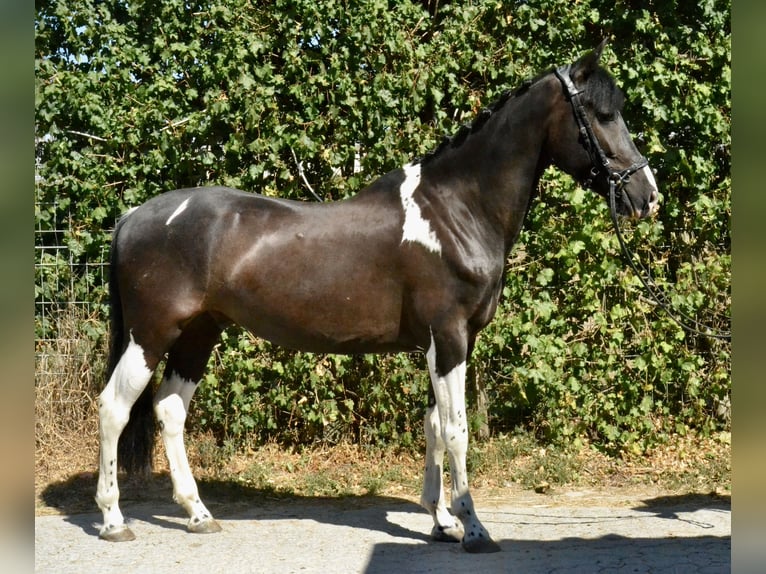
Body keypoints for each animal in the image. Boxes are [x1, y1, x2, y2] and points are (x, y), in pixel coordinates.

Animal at [95, 41, 658, 553]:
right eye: (600, 114)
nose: (647, 195)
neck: (457, 208)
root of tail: (132, 217)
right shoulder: (449, 338)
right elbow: (457, 431)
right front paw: (473, 528)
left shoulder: (444, 343)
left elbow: (433, 427)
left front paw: (442, 522)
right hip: (152, 334)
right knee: (114, 408)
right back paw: (113, 520)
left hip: (199, 332)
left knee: (170, 409)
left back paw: (198, 513)